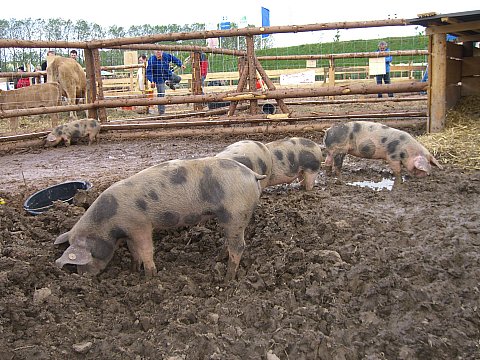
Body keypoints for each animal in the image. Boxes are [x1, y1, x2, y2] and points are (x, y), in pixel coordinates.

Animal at [54, 156, 264, 282]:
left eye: (84, 258)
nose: (82, 278)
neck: (109, 223)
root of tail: (252, 174)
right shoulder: (130, 232)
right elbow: (134, 251)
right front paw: (133, 270)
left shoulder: (140, 225)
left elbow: (146, 250)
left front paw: (150, 277)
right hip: (233, 217)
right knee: (230, 241)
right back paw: (219, 259)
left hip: (235, 213)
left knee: (239, 246)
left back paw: (228, 278)